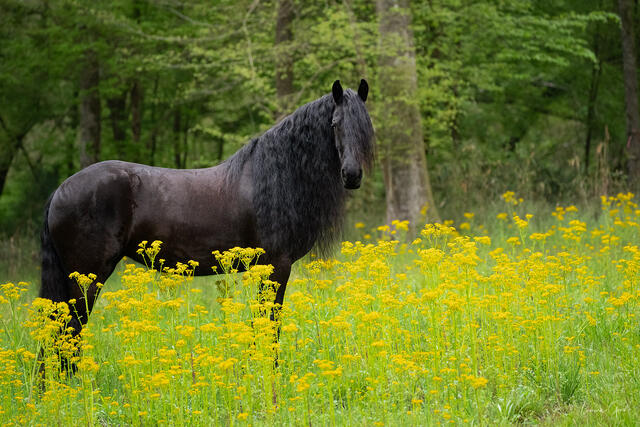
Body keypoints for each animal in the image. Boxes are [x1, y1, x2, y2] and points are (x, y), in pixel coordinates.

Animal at [40, 79, 374, 345]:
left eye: (366, 127)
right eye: (334, 124)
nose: (352, 175)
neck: (276, 177)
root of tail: (60, 190)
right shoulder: (276, 266)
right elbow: (269, 325)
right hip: (86, 278)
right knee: (68, 333)